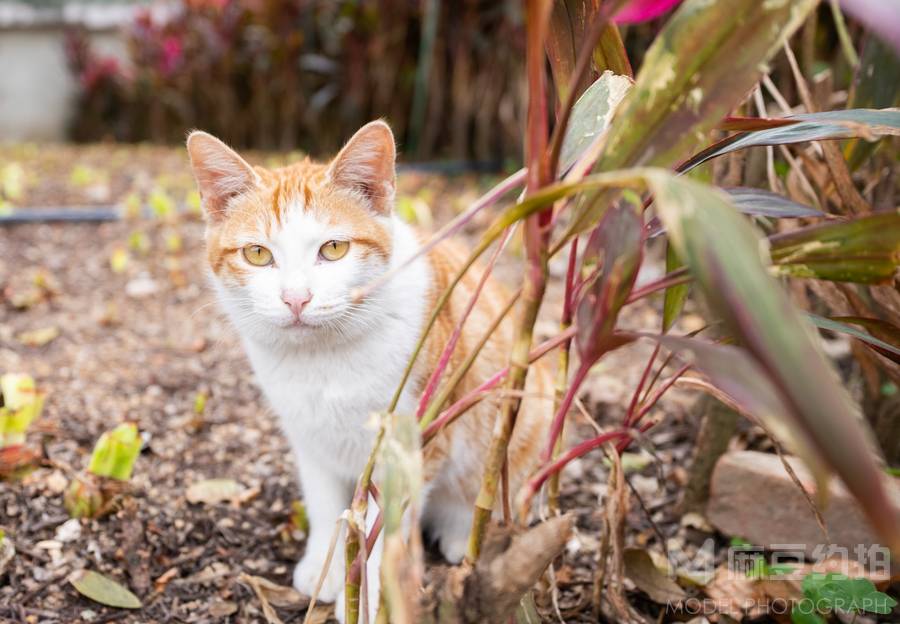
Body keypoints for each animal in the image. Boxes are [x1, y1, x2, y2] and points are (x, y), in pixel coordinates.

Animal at [185, 120, 548, 620]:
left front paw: (370, 597)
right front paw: (325, 568)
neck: (323, 362)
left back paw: (462, 534)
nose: (295, 299)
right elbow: (324, 504)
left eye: (334, 248)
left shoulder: (412, 444)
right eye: (258, 254)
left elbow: (383, 533)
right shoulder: (308, 437)